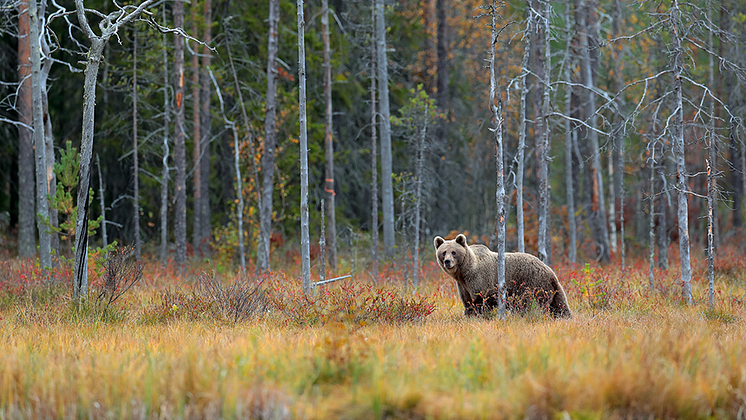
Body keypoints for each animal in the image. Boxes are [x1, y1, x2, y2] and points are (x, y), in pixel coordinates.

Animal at [430, 233, 568, 318]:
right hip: (553, 289)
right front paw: (469, 315)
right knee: (560, 305)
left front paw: (480, 316)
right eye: (443, 252)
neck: (464, 271)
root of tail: (550, 271)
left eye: (454, 252)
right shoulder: (463, 285)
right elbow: (468, 303)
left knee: (529, 304)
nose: (448, 261)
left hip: (532, 284)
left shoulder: (480, 280)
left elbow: (481, 302)